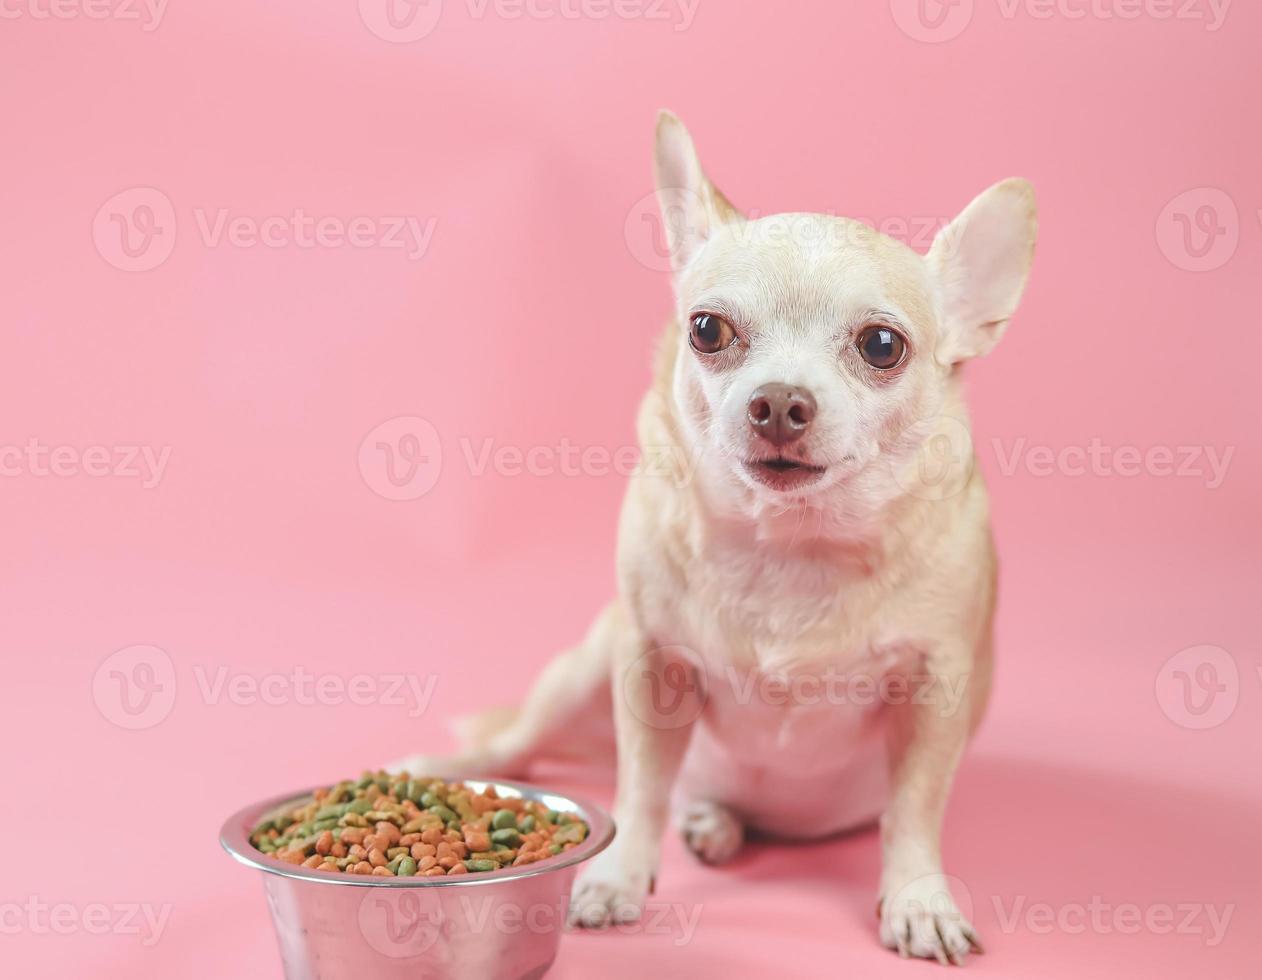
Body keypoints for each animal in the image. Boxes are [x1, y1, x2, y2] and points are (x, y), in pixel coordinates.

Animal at [393, 112, 1034, 963]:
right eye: (707, 329)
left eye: (882, 346)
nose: (780, 402)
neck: (792, 545)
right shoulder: (648, 664)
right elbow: (639, 788)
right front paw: (617, 879)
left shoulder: (936, 689)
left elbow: (914, 810)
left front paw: (918, 898)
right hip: (583, 670)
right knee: (516, 740)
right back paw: (447, 768)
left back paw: (717, 823)